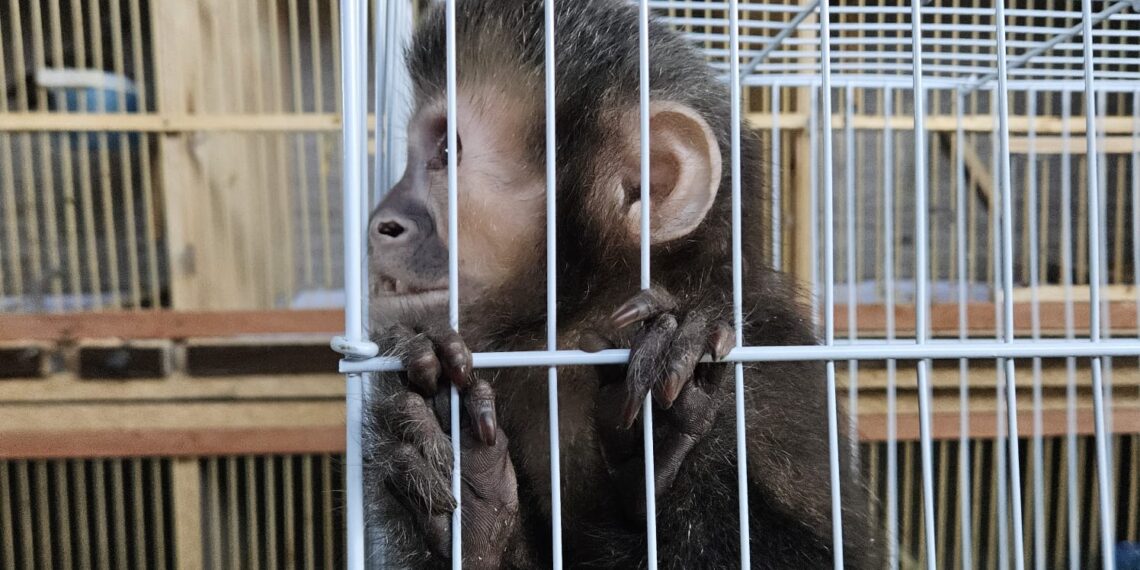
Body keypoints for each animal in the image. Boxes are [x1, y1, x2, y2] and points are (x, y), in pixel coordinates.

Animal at [362, 0, 882, 568]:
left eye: (445, 152)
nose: (382, 221)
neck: (581, 322)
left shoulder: (770, 363)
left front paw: (666, 435)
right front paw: (470, 497)